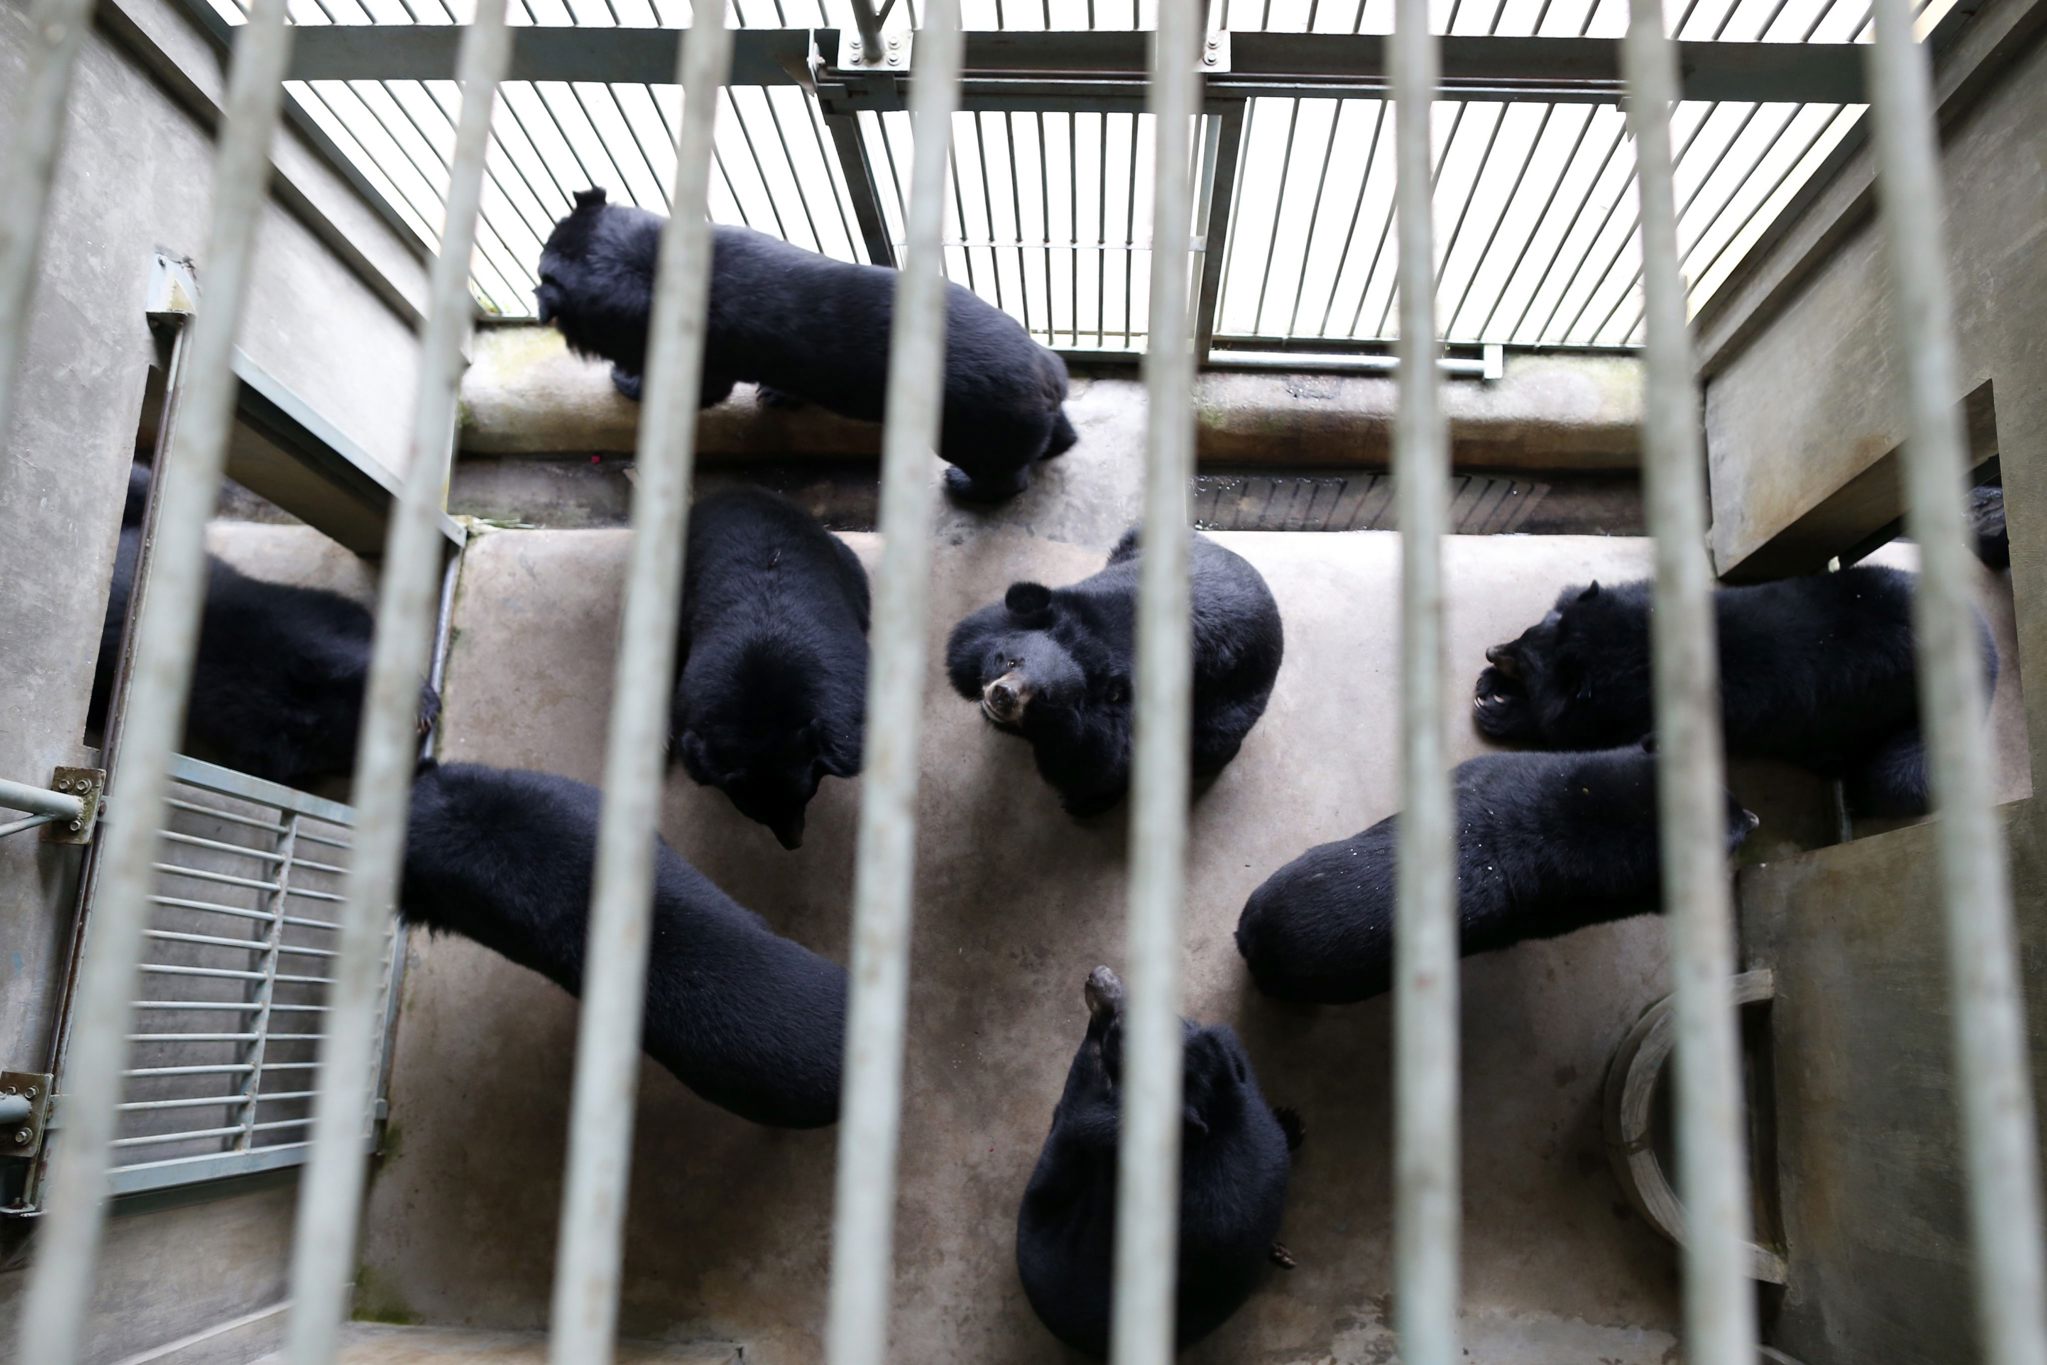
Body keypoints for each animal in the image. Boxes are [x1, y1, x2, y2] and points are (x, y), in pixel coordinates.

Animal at [534, 187, 1079, 503]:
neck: (644, 259)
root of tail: (1048, 376)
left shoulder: (704, 369)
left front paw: (625, 379)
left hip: (971, 436)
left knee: (1008, 478)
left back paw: (964, 487)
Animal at [945, 529, 1284, 818]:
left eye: (1044, 698)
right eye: (1011, 662)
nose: (1003, 696)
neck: (1086, 642)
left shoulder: (1108, 733)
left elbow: (1103, 767)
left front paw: (1083, 804)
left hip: (1231, 697)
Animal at [1469, 565, 1996, 816]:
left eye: (1530, 662)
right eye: (1530, 631)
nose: (1494, 651)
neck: (1641, 648)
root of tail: (1985, 649)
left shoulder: (1631, 712)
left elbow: (1583, 733)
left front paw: (1503, 712)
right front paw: (1490, 686)